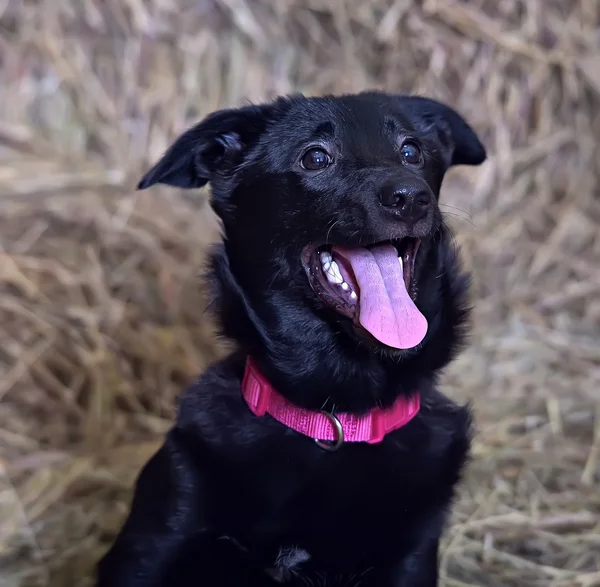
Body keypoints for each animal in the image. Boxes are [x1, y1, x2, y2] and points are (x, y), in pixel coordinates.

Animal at [96, 92, 486, 587]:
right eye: (315, 157)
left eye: (412, 150)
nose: (410, 197)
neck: (334, 418)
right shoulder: (150, 546)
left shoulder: (410, 559)